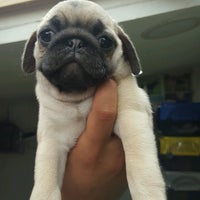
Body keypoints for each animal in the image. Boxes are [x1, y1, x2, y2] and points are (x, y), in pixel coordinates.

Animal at [21, 0, 166, 200]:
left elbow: (141, 168)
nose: (75, 42)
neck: (78, 97)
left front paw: (148, 193)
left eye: (105, 41)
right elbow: (46, 180)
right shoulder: (52, 141)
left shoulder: (132, 119)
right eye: (46, 35)